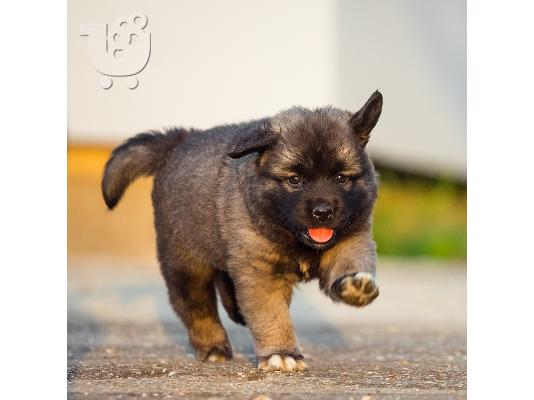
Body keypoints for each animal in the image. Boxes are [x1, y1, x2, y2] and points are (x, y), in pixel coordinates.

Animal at [101, 90, 386, 372]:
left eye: (341, 178)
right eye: (294, 180)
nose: (323, 212)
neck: (293, 237)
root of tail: (178, 141)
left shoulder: (353, 237)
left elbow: (350, 262)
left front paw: (356, 287)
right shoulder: (260, 272)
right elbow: (272, 315)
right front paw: (282, 353)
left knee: (227, 288)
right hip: (186, 262)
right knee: (196, 308)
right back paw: (213, 348)